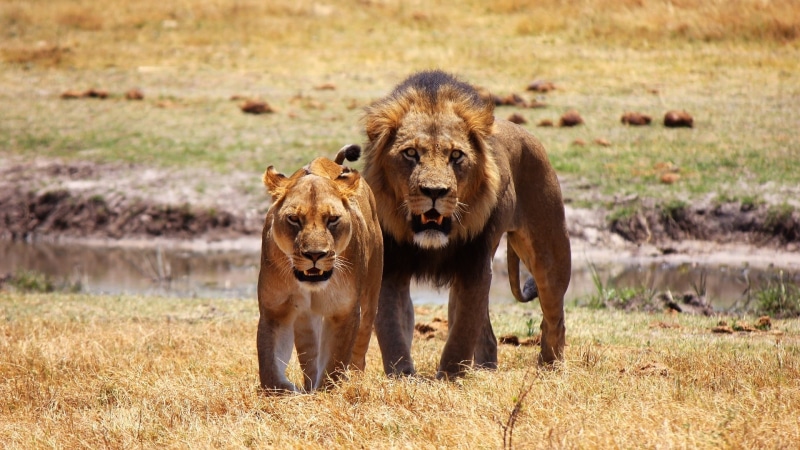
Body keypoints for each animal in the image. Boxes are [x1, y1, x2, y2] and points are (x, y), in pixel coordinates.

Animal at [257, 145, 383, 392]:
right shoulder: (275, 311)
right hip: (306, 318)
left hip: (370, 299)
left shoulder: (344, 310)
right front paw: (290, 392)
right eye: (294, 219)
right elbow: (269, 368)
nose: (315, 255)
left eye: (332, 219)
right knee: (310, 354)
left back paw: (355, 381)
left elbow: (335, 361)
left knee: (360, 348)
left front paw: (326, 392)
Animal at [360, 70, 571, 379]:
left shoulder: (474, 265)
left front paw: (449, 378)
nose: (434, 191)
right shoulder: (392, 268)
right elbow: (392, 330)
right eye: (411, 153)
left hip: (551, 256)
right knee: (489, 337)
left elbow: (461, 333)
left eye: (456, 155)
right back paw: (486, 372)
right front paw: (402, 377)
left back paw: (549, 369)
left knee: (554, 319)